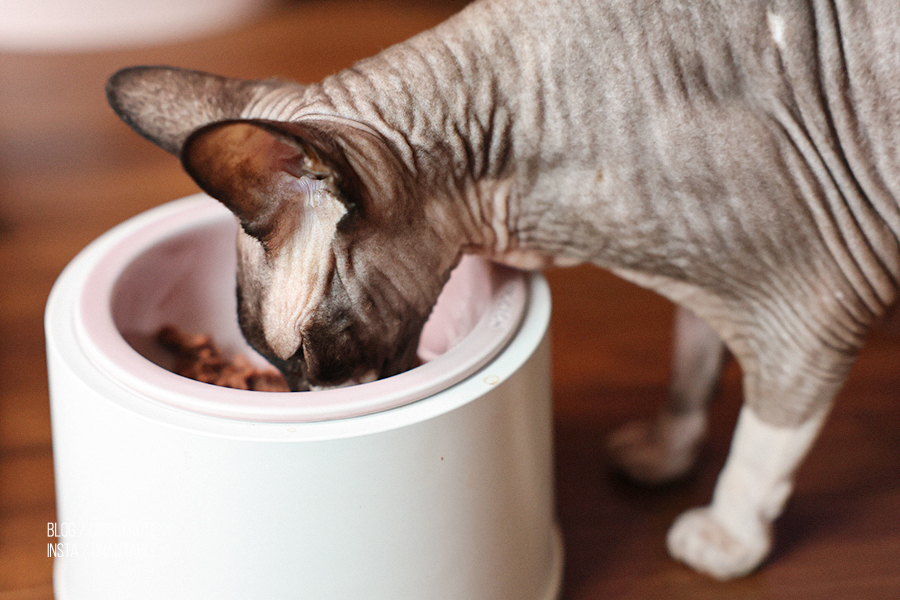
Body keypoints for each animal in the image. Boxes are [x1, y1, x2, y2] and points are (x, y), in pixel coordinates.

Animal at [107, 0, 900, 584]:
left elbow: (764, 438)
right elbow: (692, 362)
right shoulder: (724, 270)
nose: (305, 402)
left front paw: (725, 540)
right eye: (274, 364)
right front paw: (666, 452)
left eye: (302, 353)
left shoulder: (811, 299)